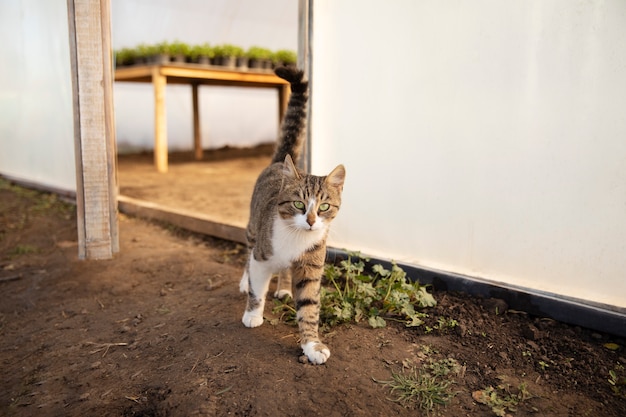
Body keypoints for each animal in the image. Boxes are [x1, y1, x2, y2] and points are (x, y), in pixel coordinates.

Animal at [239, 66, 346, 362]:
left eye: (323, 207)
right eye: (299, 204)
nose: (310, 221)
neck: (295, 238)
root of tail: (279, 162)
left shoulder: (311, 267)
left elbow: (309, 307)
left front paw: (312, 346)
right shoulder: (261, 258)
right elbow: (257, 288)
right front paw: (252, 313)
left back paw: (285, 287)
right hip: (253, 228)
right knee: (247, 251)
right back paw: (245, 280)